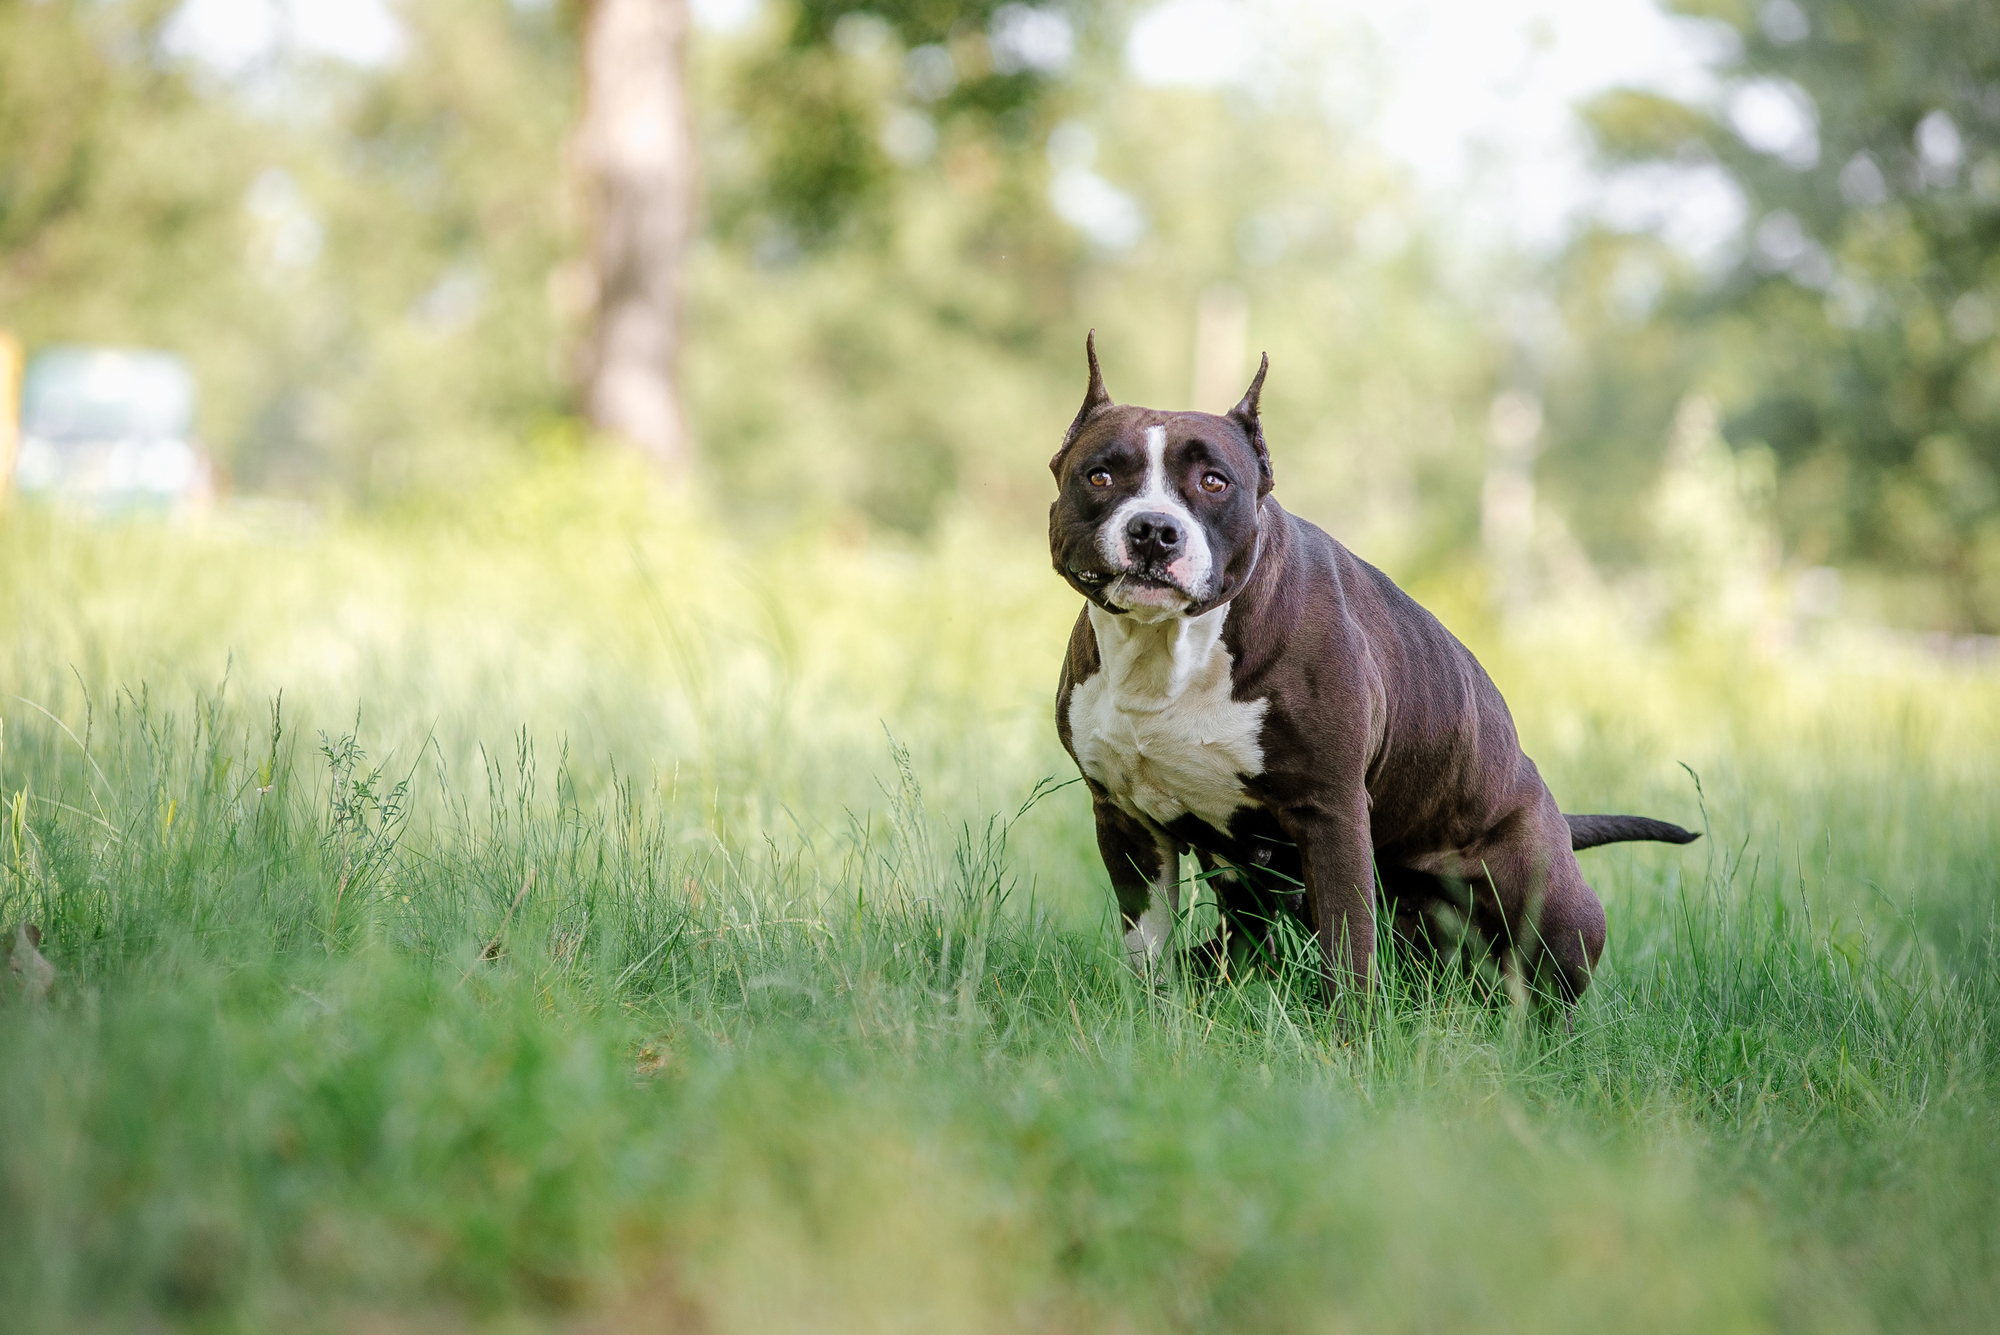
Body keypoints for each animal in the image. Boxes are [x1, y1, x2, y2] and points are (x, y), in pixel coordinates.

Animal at [1048, 333, 1688, 1011]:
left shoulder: (1332, 812)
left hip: (1551, 905)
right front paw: (1150, 1015)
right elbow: (1147, 948)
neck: (1169, 651)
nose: (1154, 529)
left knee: (1545, 990)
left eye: (1214, 482)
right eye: (1099, 475)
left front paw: (1349, 1031)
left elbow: (1348, 952)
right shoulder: (1126, 821)